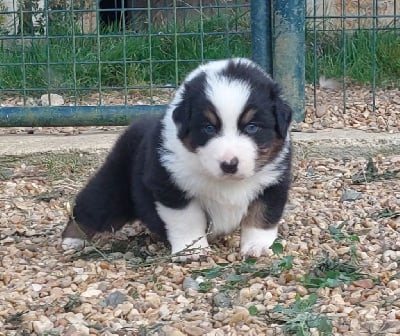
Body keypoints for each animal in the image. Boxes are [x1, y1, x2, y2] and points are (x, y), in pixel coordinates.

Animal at [63, 58, 294, 260]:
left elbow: (262, 217)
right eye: (208, 128)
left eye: (252, 127)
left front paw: (257, 247)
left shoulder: (273, 182)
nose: (229, 165)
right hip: (113, 187)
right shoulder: (171, 185)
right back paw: (72, 240)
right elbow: (188, 221)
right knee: (90, 207)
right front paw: (192, 251)